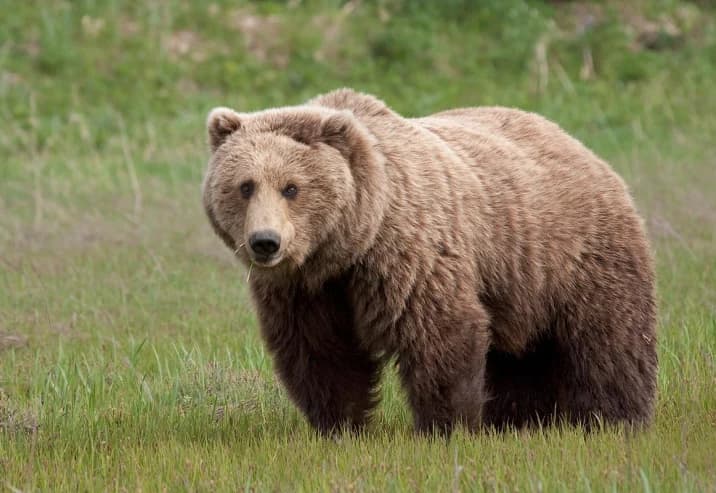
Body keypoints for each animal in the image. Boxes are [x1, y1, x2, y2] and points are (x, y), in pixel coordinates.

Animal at [201, 88, 657, 436]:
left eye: (292, 188)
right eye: (245, 186)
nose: (265, 242)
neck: (350, 245)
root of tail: (579, 146)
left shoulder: (409, 256)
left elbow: (438, 333)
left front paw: (447, 426)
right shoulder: (306, 290)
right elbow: (321, 351)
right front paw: (339, 425)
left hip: (575, 254)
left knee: (608, 338)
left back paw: (613, 417)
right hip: (518, 280)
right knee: (520, 355)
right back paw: (519, 420)